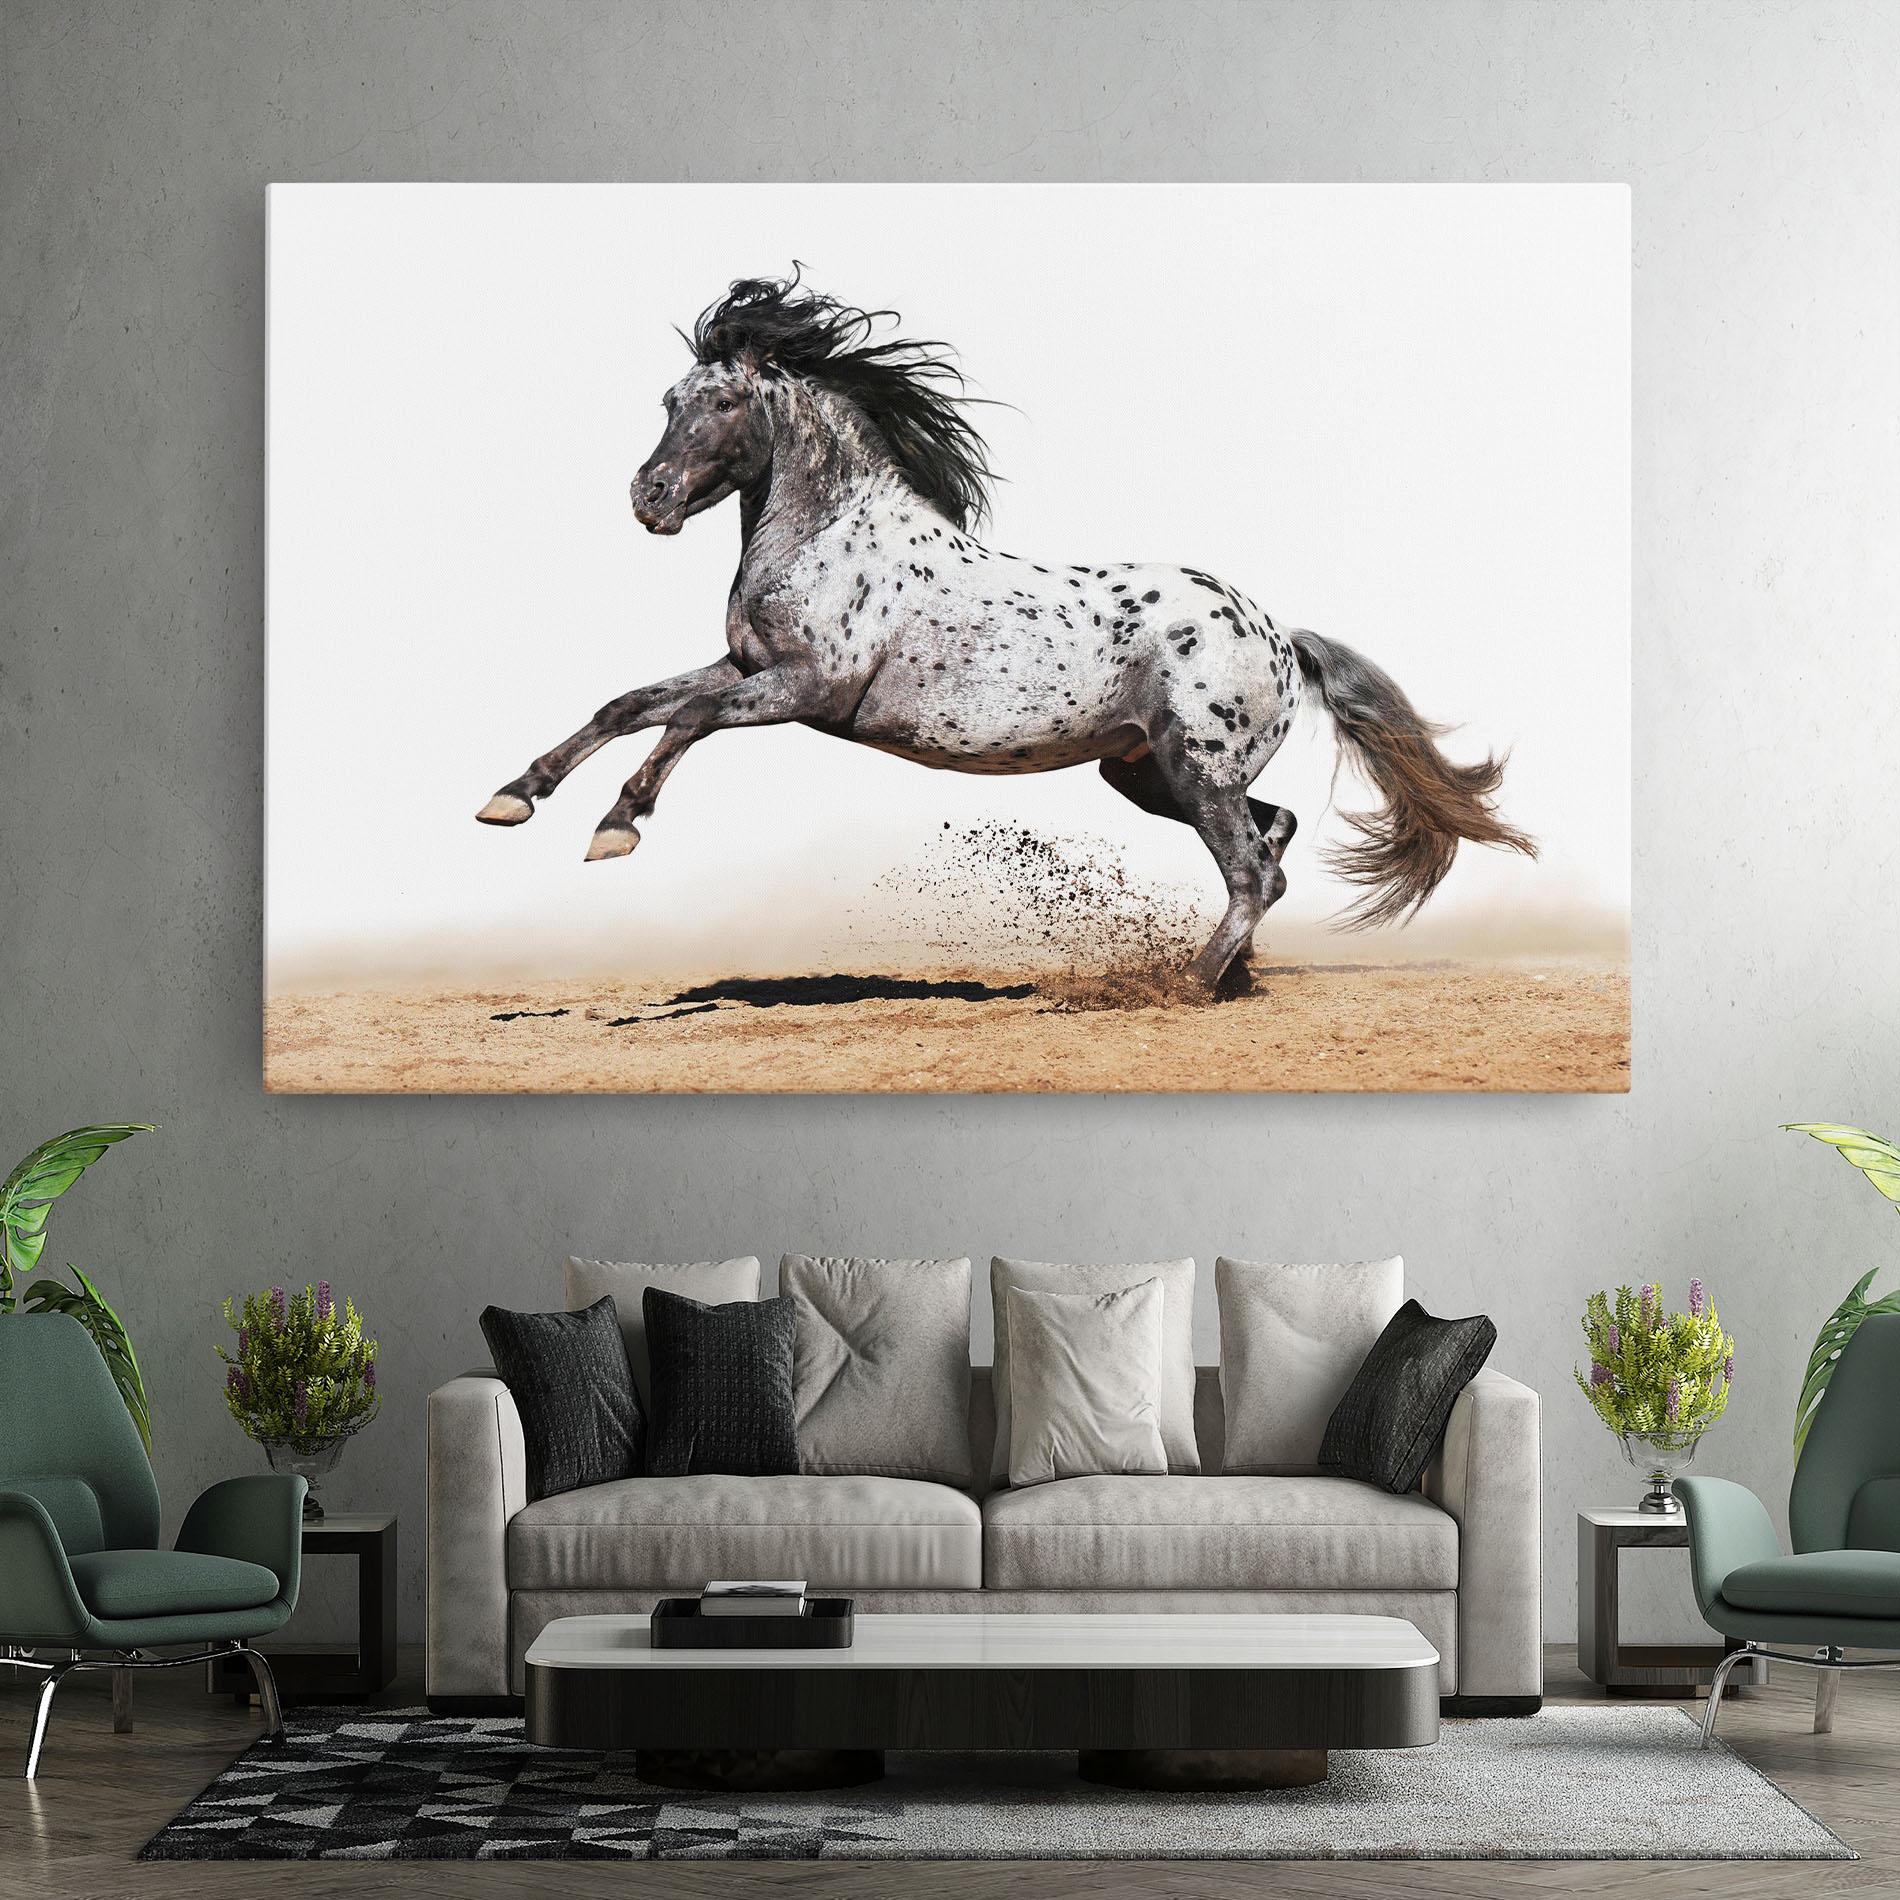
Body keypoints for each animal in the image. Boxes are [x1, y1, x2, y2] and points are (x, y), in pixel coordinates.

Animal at [477, 273, 1535, 994]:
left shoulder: (802, 692)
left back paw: (1186, 987)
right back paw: (1232, 975)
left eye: (727, 402)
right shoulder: (747, 666)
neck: (830, 534)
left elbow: (686, 721)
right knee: (1271, 840)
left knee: (1249, 869)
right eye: (669, 402)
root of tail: (1278, 632)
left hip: (1193, 770)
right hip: (1145, 772)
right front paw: (513, 799)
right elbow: (630, 703)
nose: (649, 499)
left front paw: (616, 828)